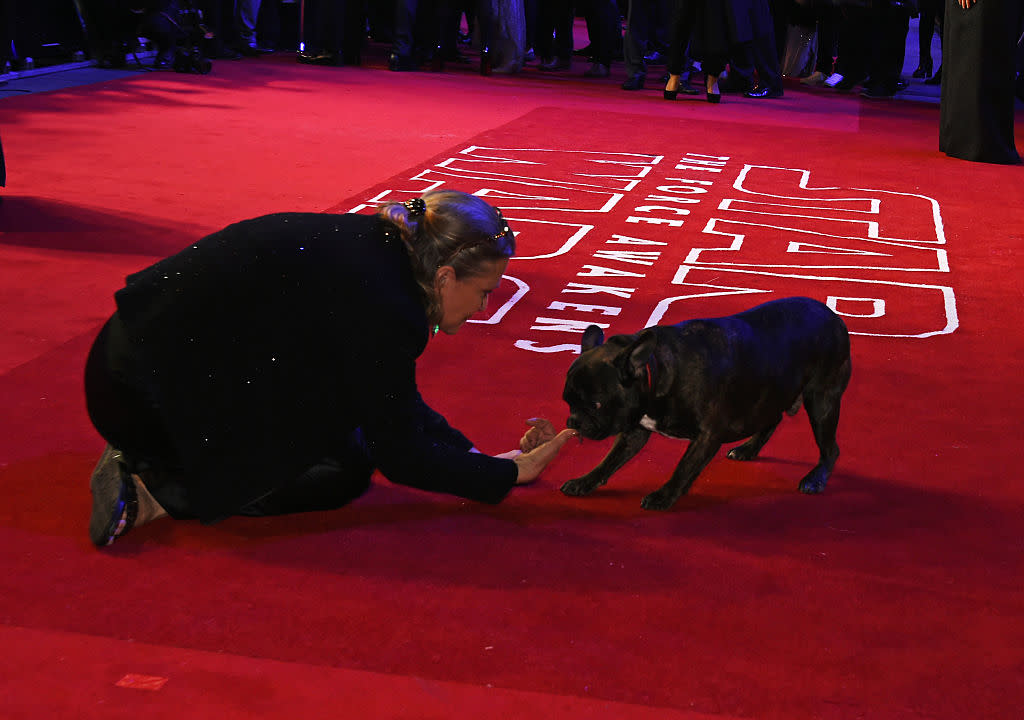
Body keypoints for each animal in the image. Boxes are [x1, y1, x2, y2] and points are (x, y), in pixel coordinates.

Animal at [561, 294, 847, 510]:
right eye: (567, 400)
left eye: (597, 404)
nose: (573, 421)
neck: (657, 368)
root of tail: (833, 316)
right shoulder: (635, 431)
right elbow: (609, 461)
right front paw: (584, 481)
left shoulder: (708, 435)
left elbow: (684, 466)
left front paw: (665, 495)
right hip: (768, 395)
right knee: (772, 418)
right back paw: (748, 449)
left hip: (821, 402)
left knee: (830, 448)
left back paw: (816, 479)